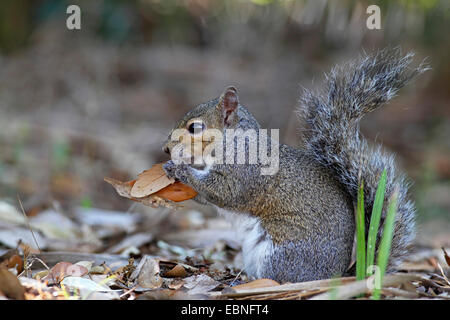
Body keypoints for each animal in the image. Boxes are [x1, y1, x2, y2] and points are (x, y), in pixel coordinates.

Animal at [162, 48, 428, 282]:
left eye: (195, 128)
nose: (165, 148)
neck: (233, 141)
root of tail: (336, 276)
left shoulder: (245, 171)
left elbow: (225, 192)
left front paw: (179, 168)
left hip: (278, 254)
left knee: (280, 279)